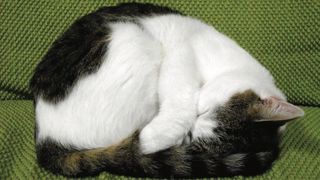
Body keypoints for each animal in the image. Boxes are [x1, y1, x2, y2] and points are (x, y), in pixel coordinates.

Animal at [30, 2, 304, 178]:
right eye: (206, 112)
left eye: (197, 138)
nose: (193, 128)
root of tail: (46, 136)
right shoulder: (182, 51)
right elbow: (182, 98)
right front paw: (150, 140)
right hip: (136, 38)